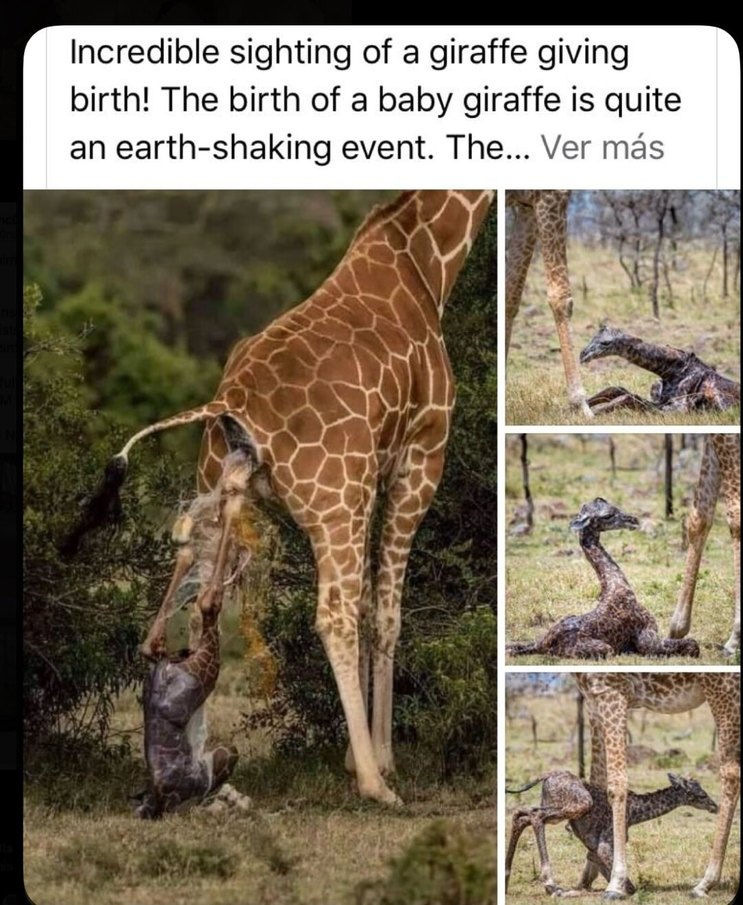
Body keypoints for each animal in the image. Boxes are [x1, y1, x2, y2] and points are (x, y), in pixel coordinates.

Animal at [65, 190, 496, 805]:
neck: (427, 262)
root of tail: (229, 402)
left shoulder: (377, 473)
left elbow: (371, 604)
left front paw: (361, 754)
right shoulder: (420, 452)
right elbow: (385, 611)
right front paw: (381, 760)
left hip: (227, 491)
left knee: (193, 601)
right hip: (336, 497)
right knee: (332, 615)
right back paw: (372, 786)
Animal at [505, 770, 718, 896]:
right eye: (701, 795)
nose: (715, 807)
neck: (633, 812)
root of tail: (546, 776)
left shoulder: (593, 848)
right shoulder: (605, 844)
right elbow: (630, 887)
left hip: (554, 807)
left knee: (522, 814)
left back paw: (506, 879)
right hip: (577, 805)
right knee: (535, 815)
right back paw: (552, 885)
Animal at [575, 673, 740, 899]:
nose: (712, 806)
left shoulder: (612, 691)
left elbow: (617, 784)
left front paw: (616, 883)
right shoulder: (592, 699)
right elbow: (596, 780)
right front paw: (588, 874)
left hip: (723, 690)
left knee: (731, 772)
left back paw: (704, 883)